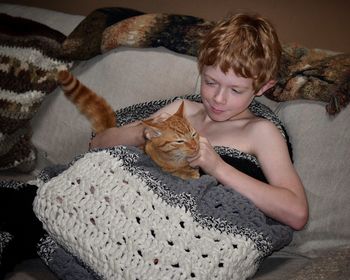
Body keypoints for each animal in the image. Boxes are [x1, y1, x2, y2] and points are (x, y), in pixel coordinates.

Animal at [57, 69, 200, 179]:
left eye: (193, 134)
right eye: (180, 141)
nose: (195, 146)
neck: (177, 160)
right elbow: (173, 171)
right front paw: (187, 172)